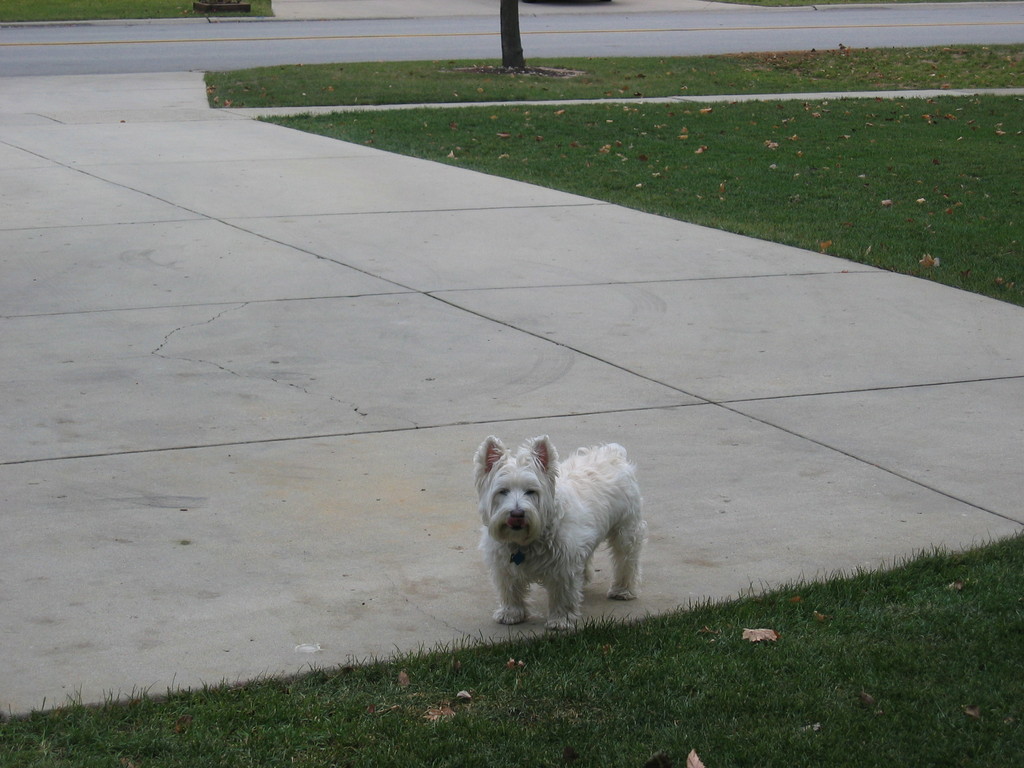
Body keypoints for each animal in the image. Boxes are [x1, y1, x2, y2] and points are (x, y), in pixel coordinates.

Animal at [473, 436, 647, 634]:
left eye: (531, 491)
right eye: (502, 491)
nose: (517, 514)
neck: (525, 541)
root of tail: (614, 453)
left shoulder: (563, 566)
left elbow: (562, 594)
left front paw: (561, 620)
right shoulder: (504, 565)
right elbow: (510, 589)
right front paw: (511, 614)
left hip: (626, 529)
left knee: (626, 560)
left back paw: (623, 590)